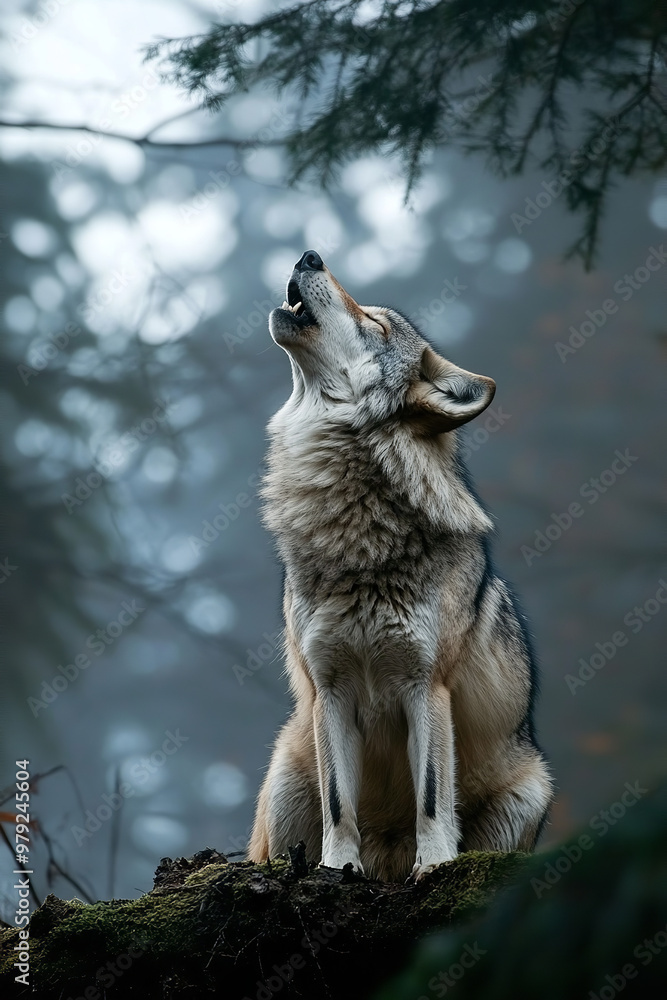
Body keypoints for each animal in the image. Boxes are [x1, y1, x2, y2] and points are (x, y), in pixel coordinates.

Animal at [248, 250, 552, 882]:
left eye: (376, 324)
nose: (309, 255)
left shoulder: (425, 686)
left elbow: (432, 798)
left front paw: (433, 867)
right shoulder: (331, 690)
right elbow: (340, 806)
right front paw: (338, 870)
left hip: (531, 792)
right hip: (285, 775)